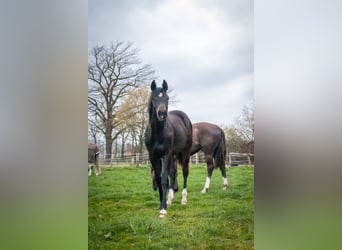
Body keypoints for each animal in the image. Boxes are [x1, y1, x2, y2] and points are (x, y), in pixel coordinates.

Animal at [144, 79, 192, 217]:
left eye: (167, 98)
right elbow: (159, 178)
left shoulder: (166, 154)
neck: (158, 133)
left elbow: (164, 178)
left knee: (185, 173)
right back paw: (170, 199)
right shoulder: (153, 156)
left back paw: (183, 199)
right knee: (173, 172)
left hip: (184, 153)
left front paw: (163, 209)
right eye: (153, 98)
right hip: (173, 156)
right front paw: (163, 203)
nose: (162, 114)